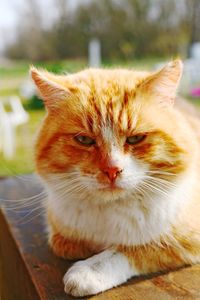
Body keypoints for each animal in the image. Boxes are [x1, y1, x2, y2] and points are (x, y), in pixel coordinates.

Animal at [30, 59, 200, 296]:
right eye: (84, 139)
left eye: (135, 138)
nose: (112, 170)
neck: (110, 210)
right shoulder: (58, 224)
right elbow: (62, 243)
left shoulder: (185, 237)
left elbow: (132, 248)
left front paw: (88, 271)